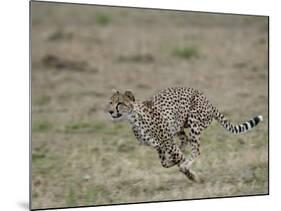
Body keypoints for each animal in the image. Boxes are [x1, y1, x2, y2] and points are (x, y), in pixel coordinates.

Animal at [106, 86, 262, 182]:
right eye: (110, 102)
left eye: (119, 103)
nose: (110, 111)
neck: (134, 118)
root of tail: (206, 98)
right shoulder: (159, 146)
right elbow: (164, 163)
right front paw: (176, 163)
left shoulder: (167, 142)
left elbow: (180, 159)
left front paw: (191, 175)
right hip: (179, 126)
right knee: (185, 142)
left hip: (194, 122)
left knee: (196, 150)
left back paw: (186, 162)